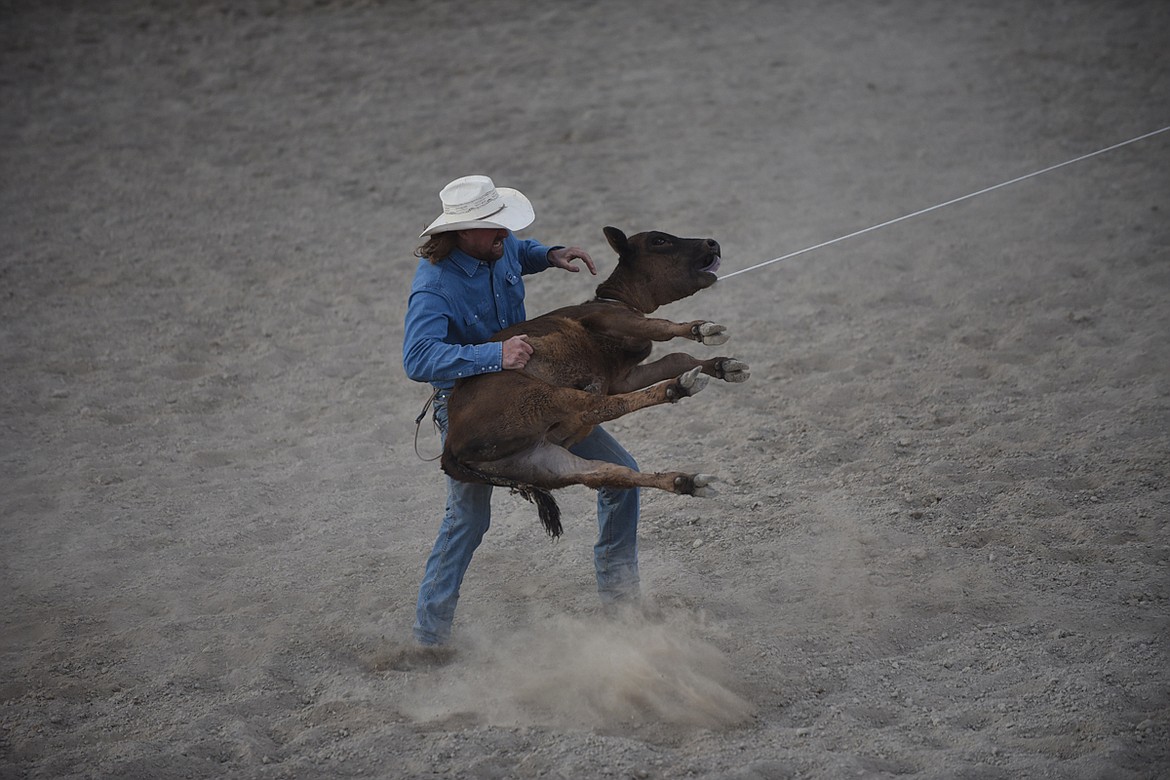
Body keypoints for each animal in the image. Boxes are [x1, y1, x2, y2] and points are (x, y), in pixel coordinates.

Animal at [439, 225, 748, 537]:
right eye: (659, 240)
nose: (712, 243)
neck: (619, 302)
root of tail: (450, 448)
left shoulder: (624, 377)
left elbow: (676, 358)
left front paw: (725, 366)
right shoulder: (610, 320)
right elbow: (661, 329)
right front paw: (701, 329)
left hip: (540, 463)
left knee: (611, 473)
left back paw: (686, 481)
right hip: (541, 397)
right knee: (601, 407)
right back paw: (678, 388)